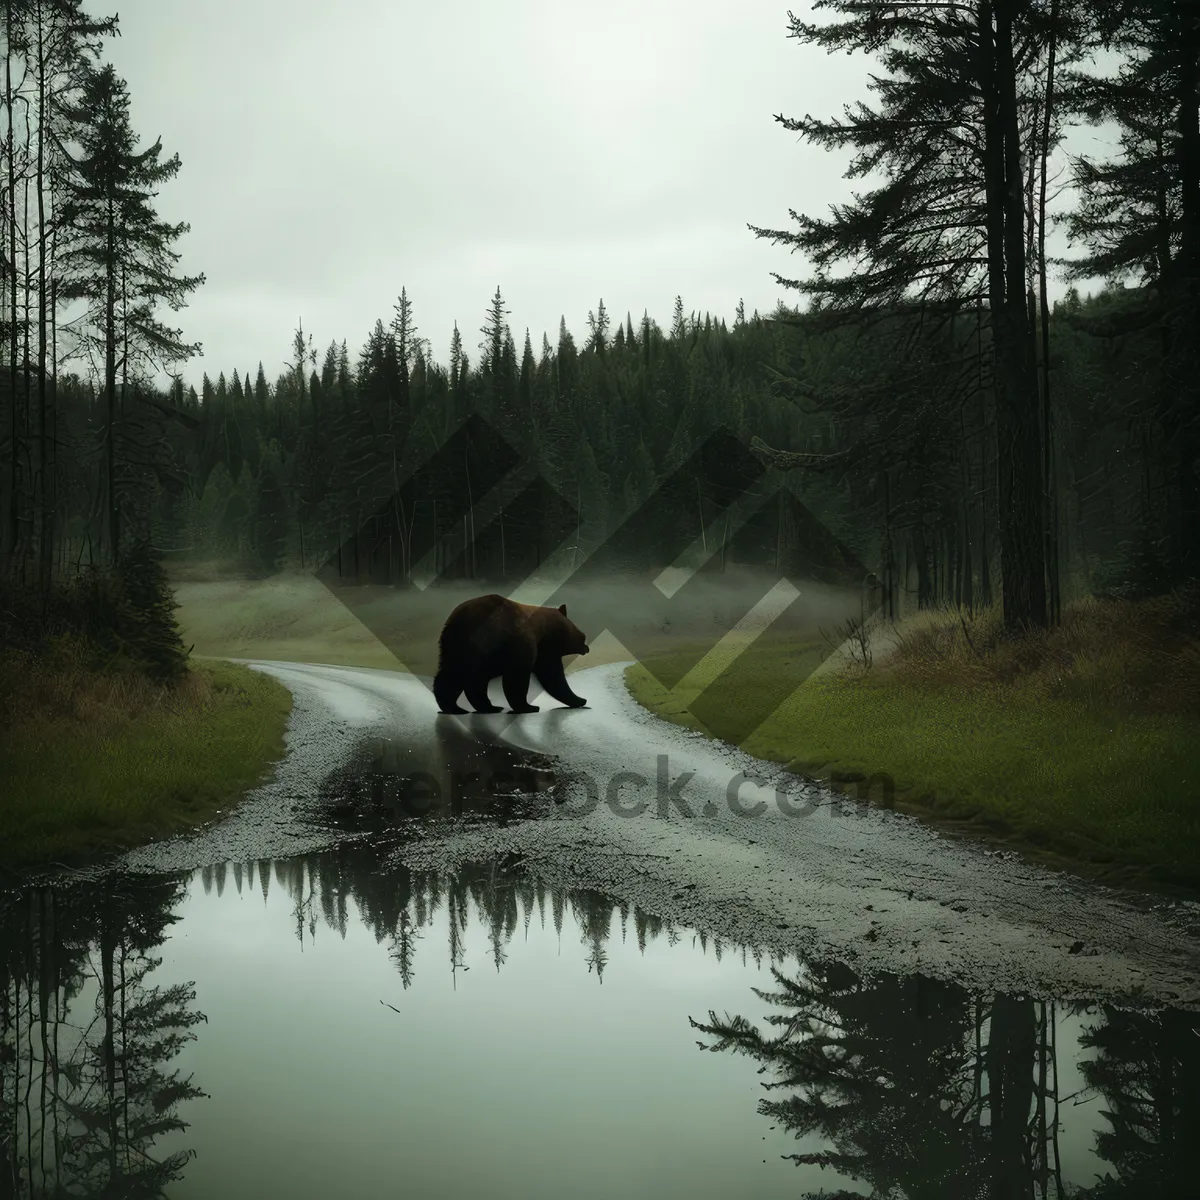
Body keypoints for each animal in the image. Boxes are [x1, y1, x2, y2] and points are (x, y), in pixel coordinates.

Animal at [436, 592, 595, 710]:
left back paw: (456, 707)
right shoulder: (522, 644)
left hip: (454, 647)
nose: (587, 648)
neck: (542, 632)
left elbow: (552, 676)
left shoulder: (544, 652)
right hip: (473, 647)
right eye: (583, 637)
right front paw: (527, 706)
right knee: (467, 677)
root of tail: (455, 619)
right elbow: (518, 676)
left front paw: (579, 699)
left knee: (451, 675)